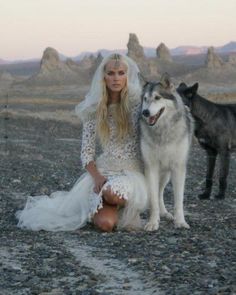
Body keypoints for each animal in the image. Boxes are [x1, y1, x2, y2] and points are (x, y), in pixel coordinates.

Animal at [139, 73, 193, 231]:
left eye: (157, 97)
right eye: (145, 98)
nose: (145, 112)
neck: (162, 131)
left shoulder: (178, 168)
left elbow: (178, 200)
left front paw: (180, 221)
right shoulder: (151, 167)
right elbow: (153, 200)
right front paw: (152, 222)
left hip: (166, 174)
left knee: (159, 192)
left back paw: (164, 213)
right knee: (156, 193)